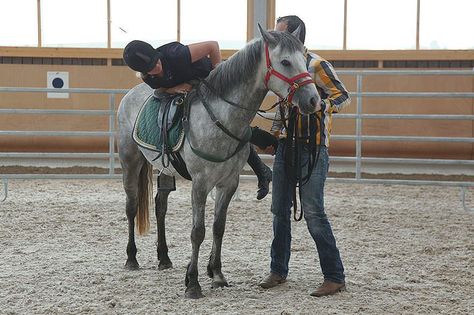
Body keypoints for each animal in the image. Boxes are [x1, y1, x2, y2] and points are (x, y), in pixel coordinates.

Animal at [116, 26, 320, 298]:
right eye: (285, 62)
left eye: (304, 59)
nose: (313, 100)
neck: (221, 117)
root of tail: (130, 95)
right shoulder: (201, 184)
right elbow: (198, 232)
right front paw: (193, 282)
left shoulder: (228, 183)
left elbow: (218, 227)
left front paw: (217, 274)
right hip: (130, 161)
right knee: (132, 206)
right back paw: (132, 258)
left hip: (166, 170)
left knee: (160, 206)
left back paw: (164, 258)